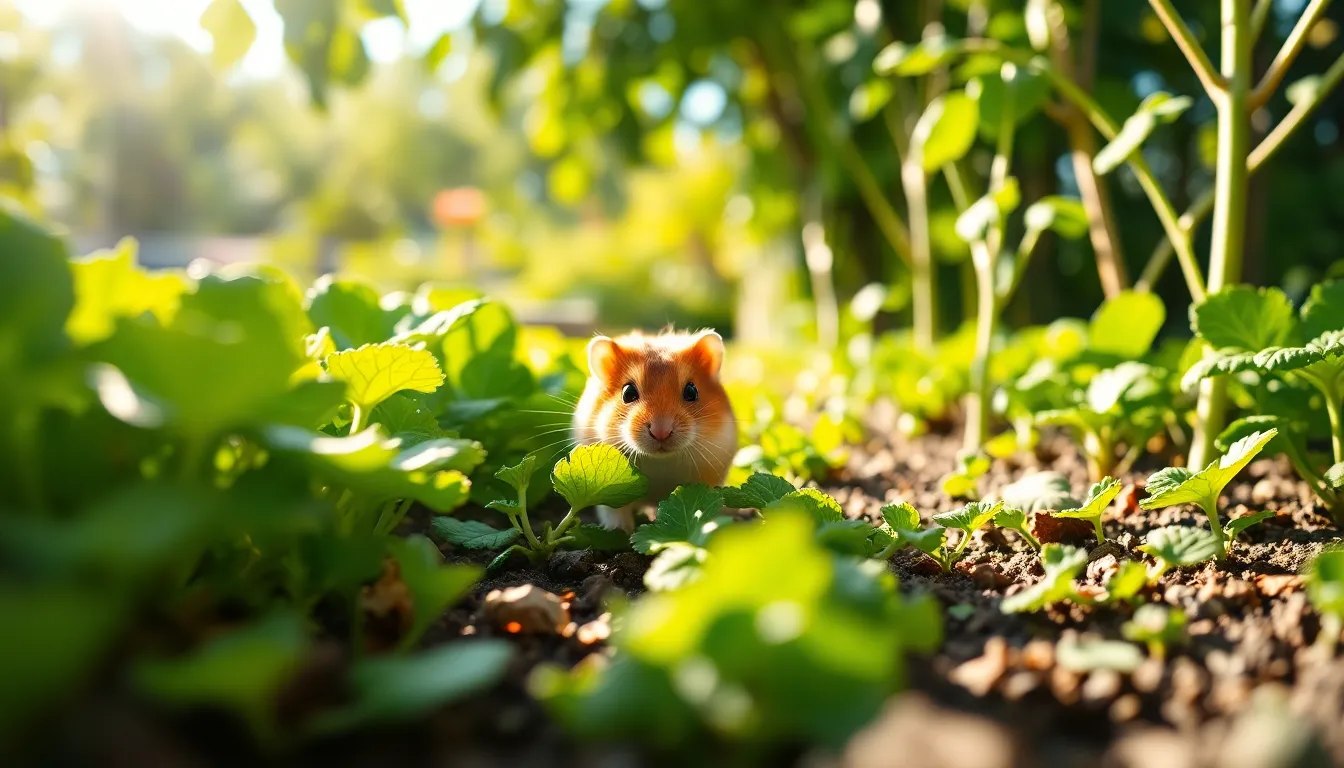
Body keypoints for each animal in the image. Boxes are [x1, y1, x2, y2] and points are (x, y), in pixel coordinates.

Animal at [571, 329, 738, 531]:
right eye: (628, 393)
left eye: (692, 391)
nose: (661, 431)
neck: (660, 460)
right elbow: (615, 512)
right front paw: (620, 531)